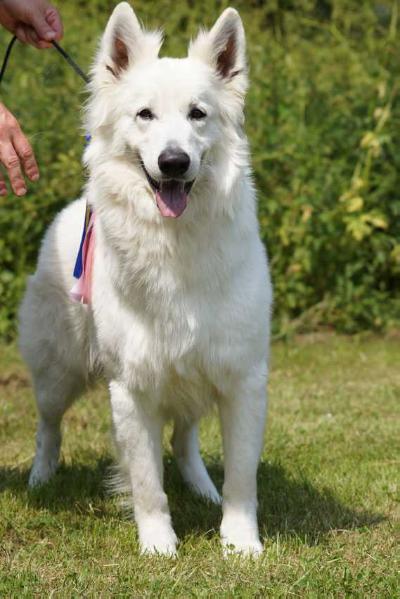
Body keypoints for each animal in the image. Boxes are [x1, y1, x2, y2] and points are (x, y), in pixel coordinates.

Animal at [20, 2, 274, 556]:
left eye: (198, 114)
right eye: (145, 115)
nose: (173, 162)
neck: (175, 248)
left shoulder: (241, 378)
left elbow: (242, 479)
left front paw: (240, 543)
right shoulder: (133, 389)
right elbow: (147, 484)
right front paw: (158, 545)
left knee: (184, 440)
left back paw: (201, 488)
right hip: (58, 374)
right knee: (48, 427)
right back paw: (40, 478)